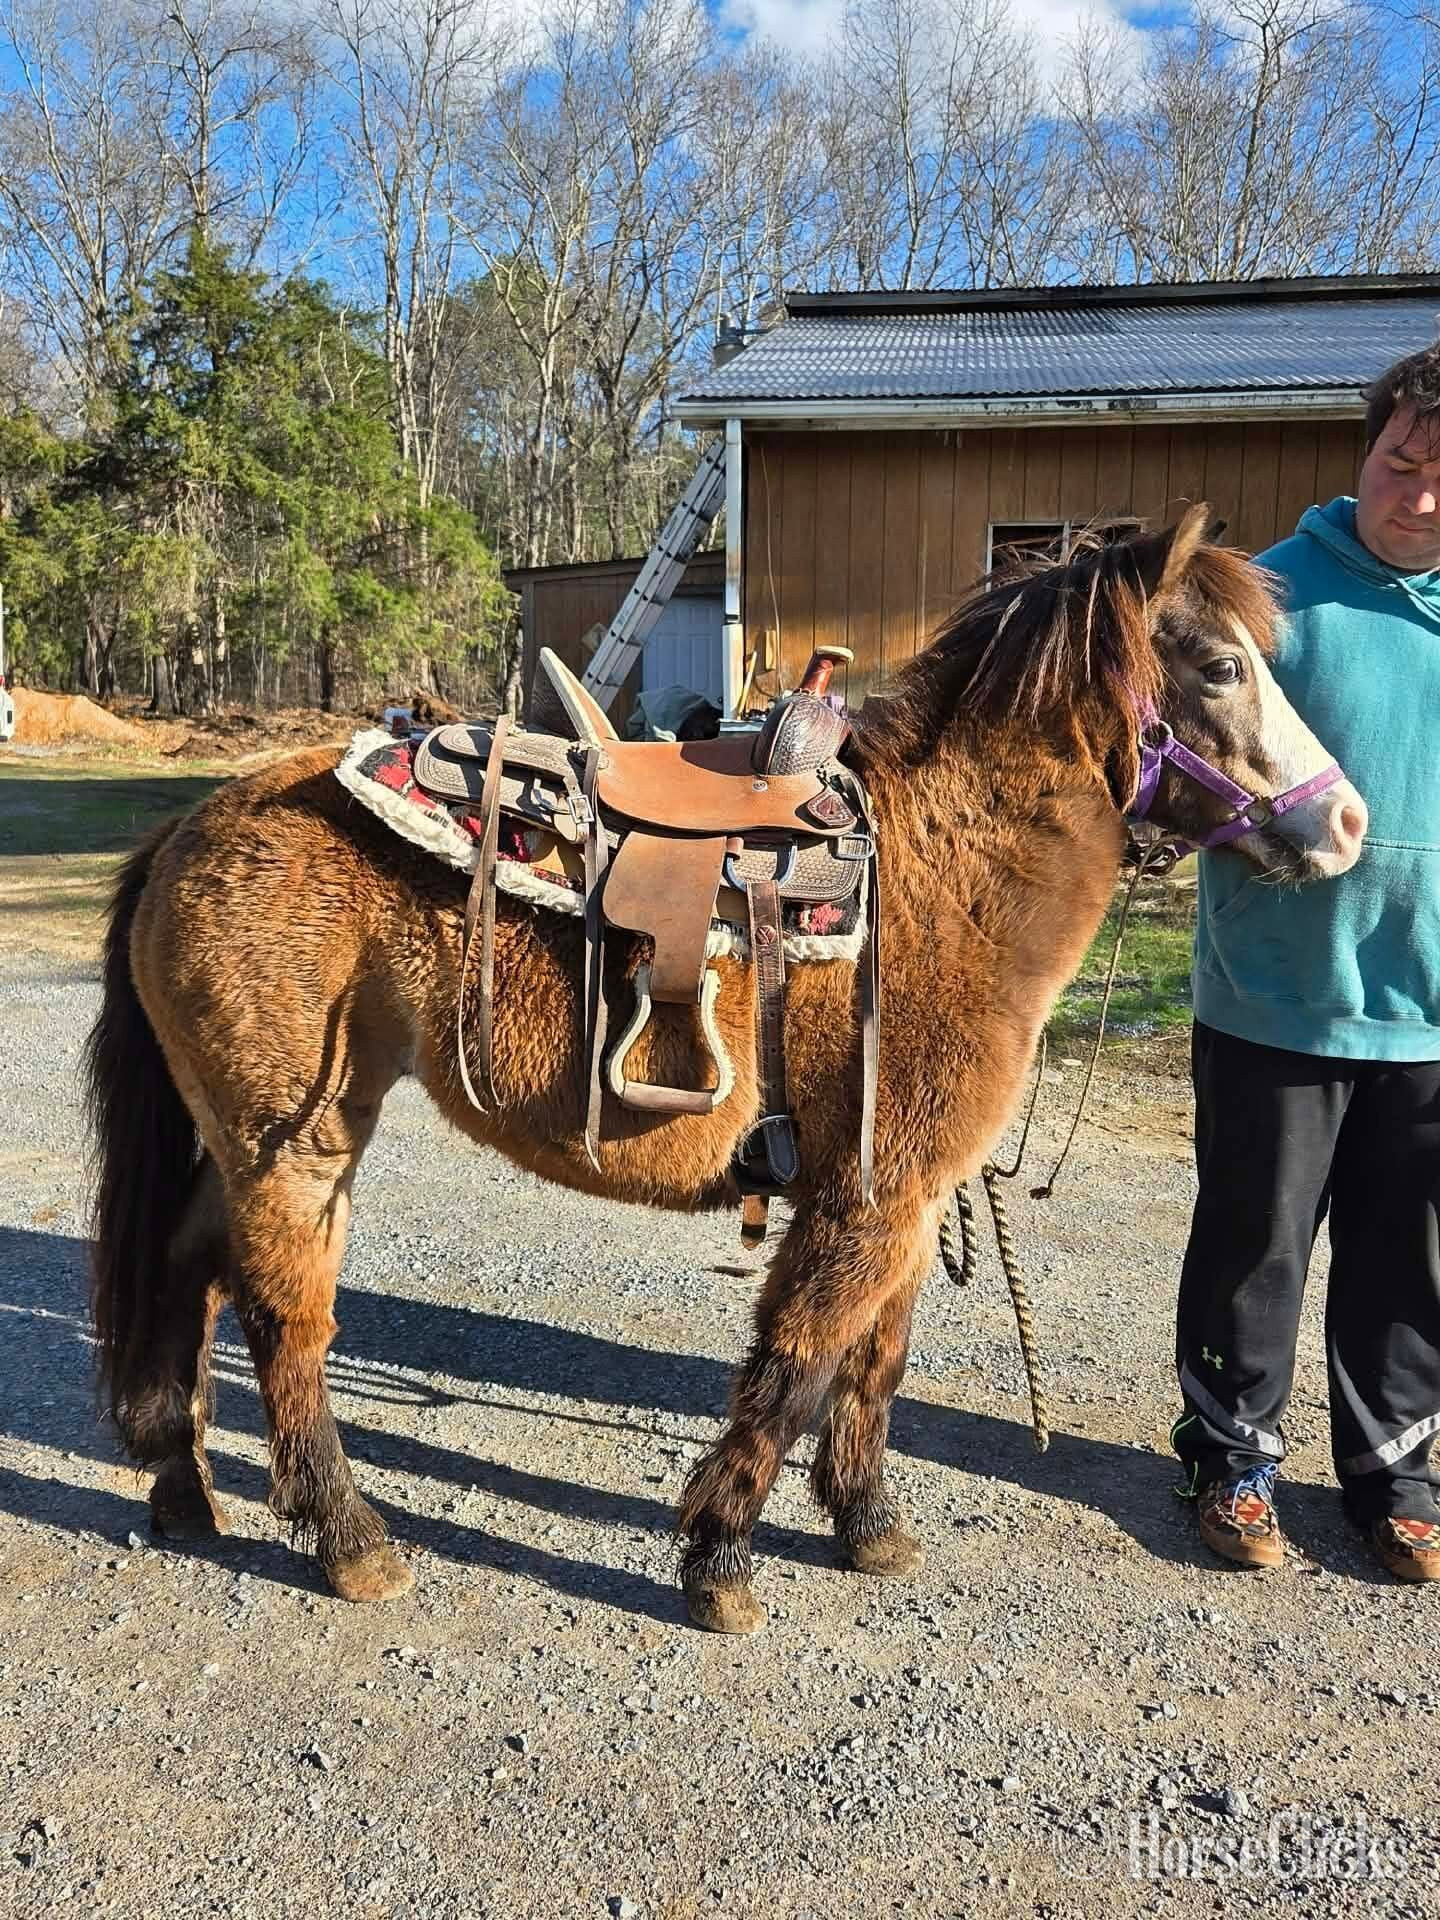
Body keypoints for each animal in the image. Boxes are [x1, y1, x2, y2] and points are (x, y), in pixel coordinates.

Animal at [85, 507, 1366, 1636]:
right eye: (1219, 667)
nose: (1347, 824)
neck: (944, 877)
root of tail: (197, 823)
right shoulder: (861, 1205)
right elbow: (796, 1366)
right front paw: (720, 1560)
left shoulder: (904, 1203)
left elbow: (876, 1368)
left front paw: (868, 1526)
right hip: (298, 1148)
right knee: (284, 1321)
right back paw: (349, 1541)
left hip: (245, 1146)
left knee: (188, 1272)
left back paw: (183, 1487)